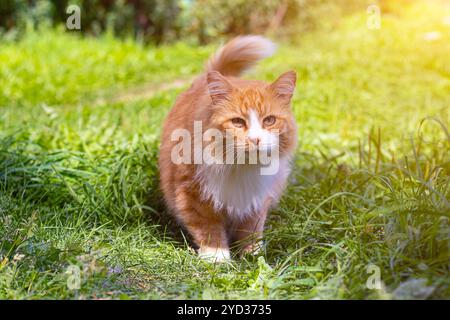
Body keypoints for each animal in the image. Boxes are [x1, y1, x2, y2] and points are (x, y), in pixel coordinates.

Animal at [159, 35, 298, 262]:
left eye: (269, 120)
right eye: (237, 122)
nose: (255, 139)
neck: (242, 167)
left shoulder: (257, 198)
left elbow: (251, 227)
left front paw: (252, 253)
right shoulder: (193, 193)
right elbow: (208, 228)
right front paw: (217, 257)